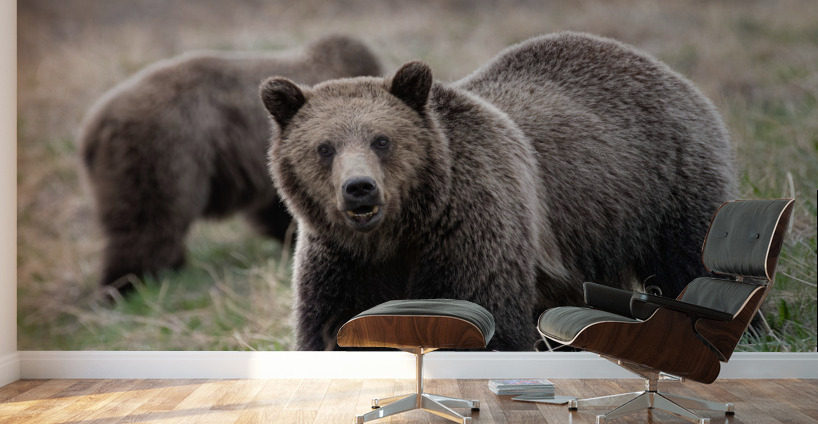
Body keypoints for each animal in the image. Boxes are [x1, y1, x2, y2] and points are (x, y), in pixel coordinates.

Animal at [259, 32, 736, 351]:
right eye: (324, 147)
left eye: (382, 140)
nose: (360, 188)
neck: (399, 234)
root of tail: (648, 61)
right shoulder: (342, 263)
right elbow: (330, 331)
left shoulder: (473, 229)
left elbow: (487, 320)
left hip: (665, 183)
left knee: (691, 263)